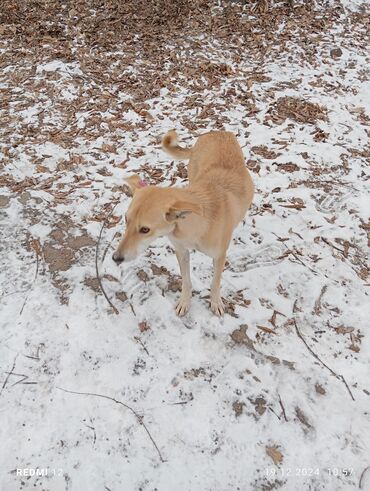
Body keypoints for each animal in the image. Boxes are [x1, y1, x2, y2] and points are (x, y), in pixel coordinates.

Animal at [112, 130, 256, 316]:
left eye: (145, 229)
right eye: (126, 220)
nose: (116, 258)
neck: (195, 227)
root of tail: (217, 132)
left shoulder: (219, 257)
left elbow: (215, 282)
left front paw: (215, 302)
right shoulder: (181, 251)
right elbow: (186, 281)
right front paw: (185, 302)